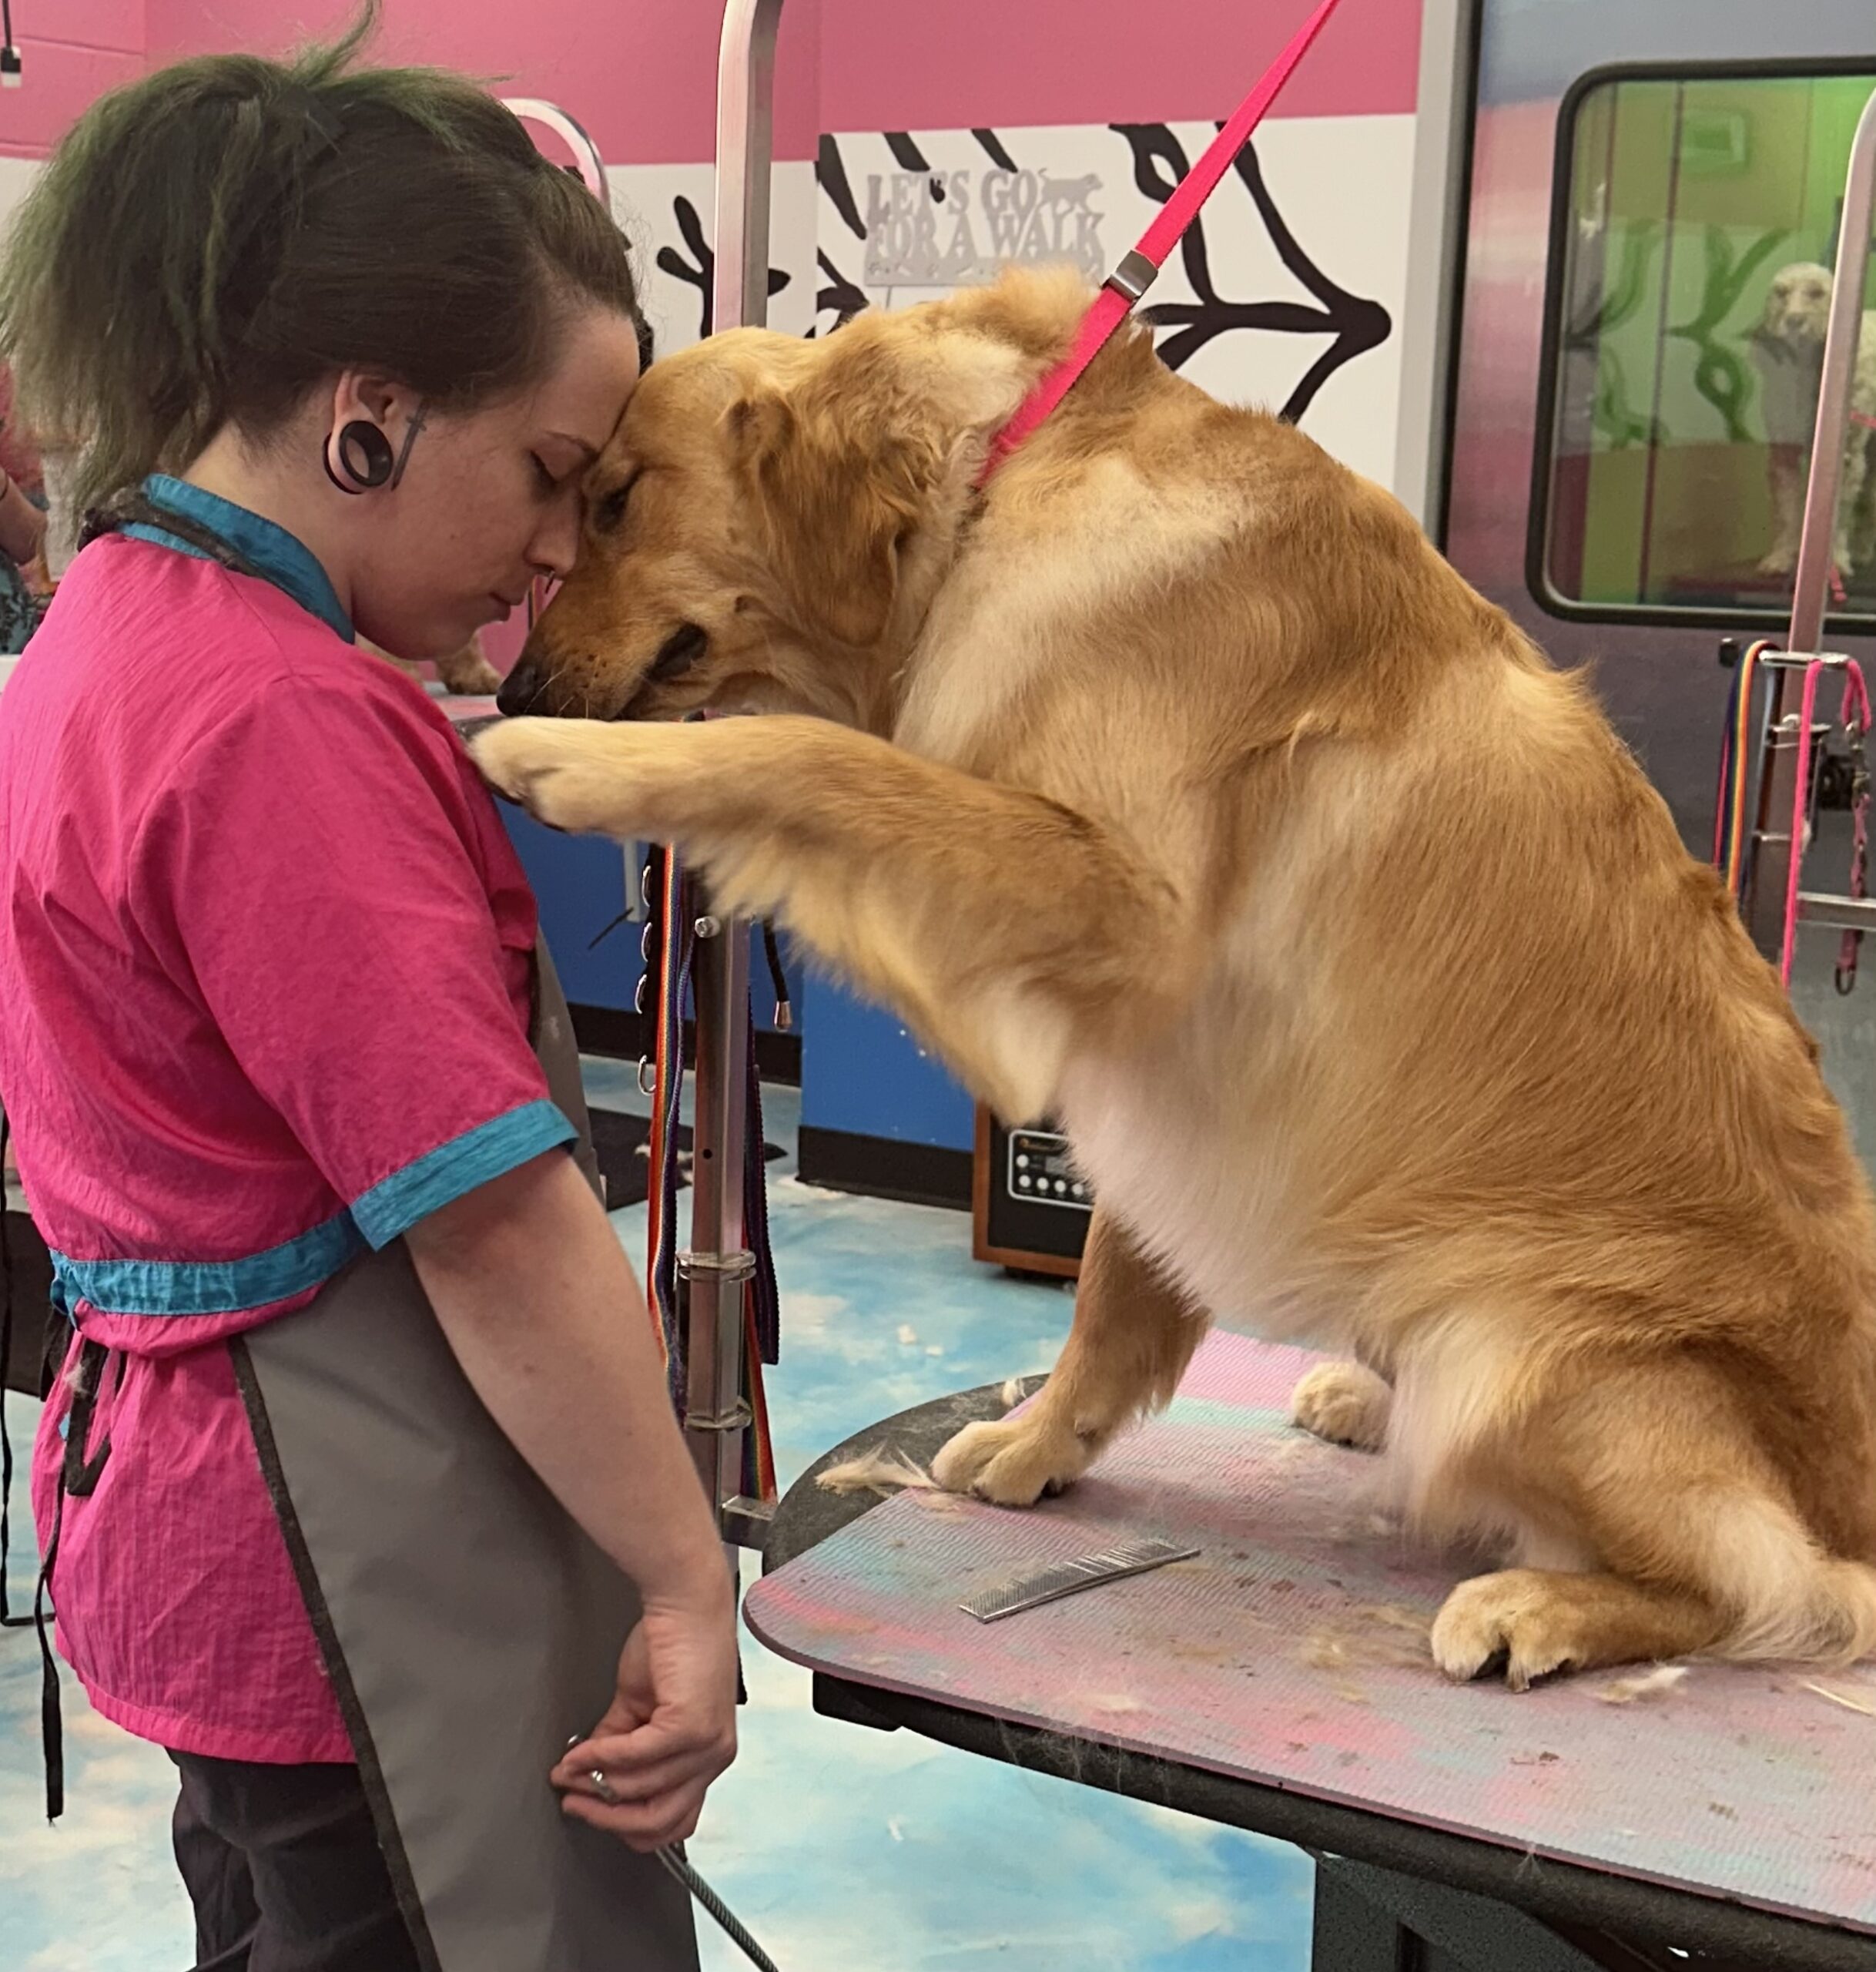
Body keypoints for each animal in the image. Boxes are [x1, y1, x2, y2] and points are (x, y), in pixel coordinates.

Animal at [1750, 260, 1876, 575]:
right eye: (1781, 293)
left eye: (1817, 293)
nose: (1794, 321)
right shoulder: (1783, 452)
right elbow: (1786, 511)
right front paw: (1782, 556)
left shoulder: (1847, 455)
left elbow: (1839, 514)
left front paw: (1837, 561)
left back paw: (1863, 551)